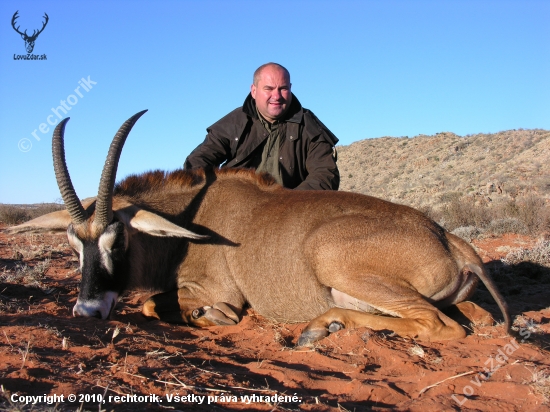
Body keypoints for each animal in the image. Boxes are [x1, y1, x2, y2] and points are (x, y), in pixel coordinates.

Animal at [5, 111, 512, 346]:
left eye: (119, 239)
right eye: (74, 246)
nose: (87, 311)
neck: (186, 223)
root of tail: (452, 241)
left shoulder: (219, 290)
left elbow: (156, 303)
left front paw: (204, 316)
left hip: (333, 260)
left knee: (440, 326)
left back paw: (319, 326)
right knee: (472, 316)